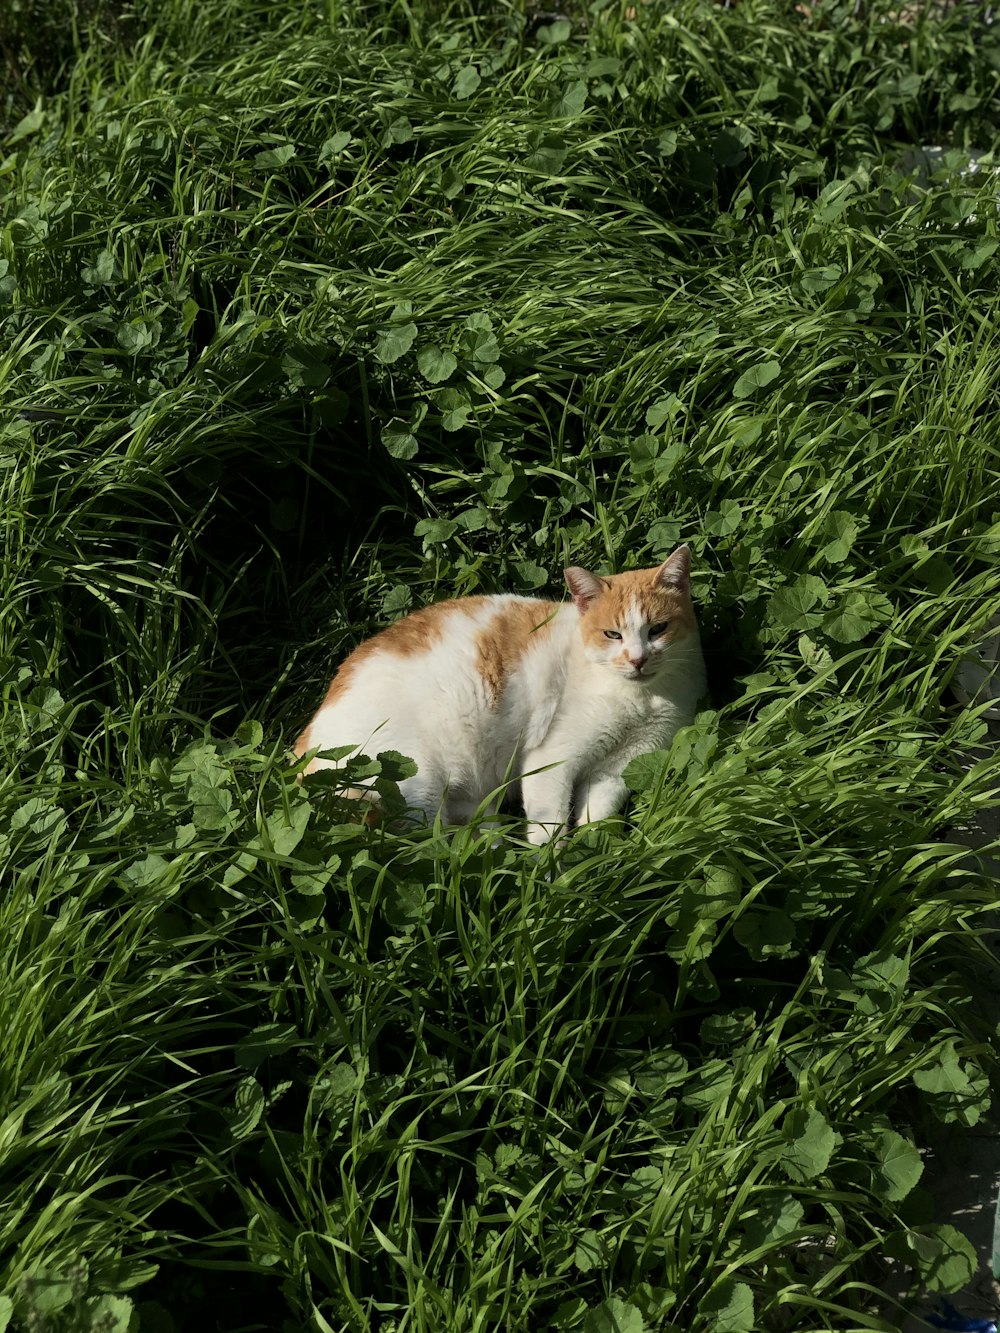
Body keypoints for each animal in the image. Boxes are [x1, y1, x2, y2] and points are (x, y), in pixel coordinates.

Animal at [293, 543, 709, 842]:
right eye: (613, 635)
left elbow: (596, 819)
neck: (641, 698)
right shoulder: (550, 760)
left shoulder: (617, 770)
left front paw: (589, 864)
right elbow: (548, 828)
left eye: (658, 629)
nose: (637, 660)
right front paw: (548, 882)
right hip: (414, 782)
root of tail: (304, 746)